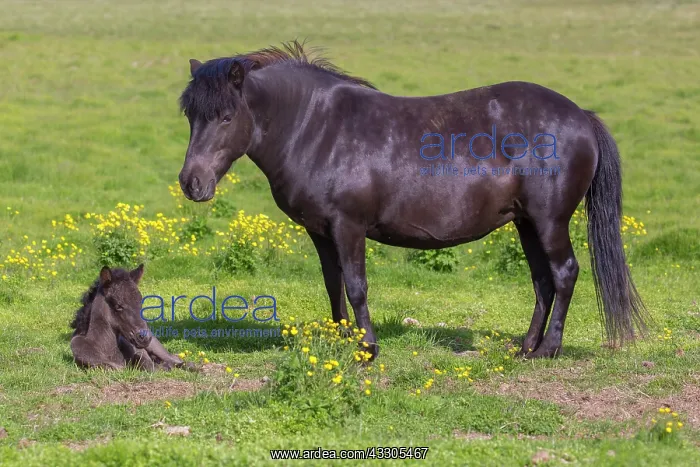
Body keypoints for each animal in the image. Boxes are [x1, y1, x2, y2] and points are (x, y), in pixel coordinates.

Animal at [177, 40, 647, 360]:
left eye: (226, 117)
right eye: (190, 115)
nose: (191, 182)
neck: (318, 128)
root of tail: (581, 116)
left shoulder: (348, 226)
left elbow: (357, 286)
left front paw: (367, 349)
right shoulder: (321, 232)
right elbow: (333, 285)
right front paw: (342, 341)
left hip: (550, 221)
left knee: (564, 273)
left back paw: (548, 350)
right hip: (526, 222)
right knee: (542, 281)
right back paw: (526, 348)